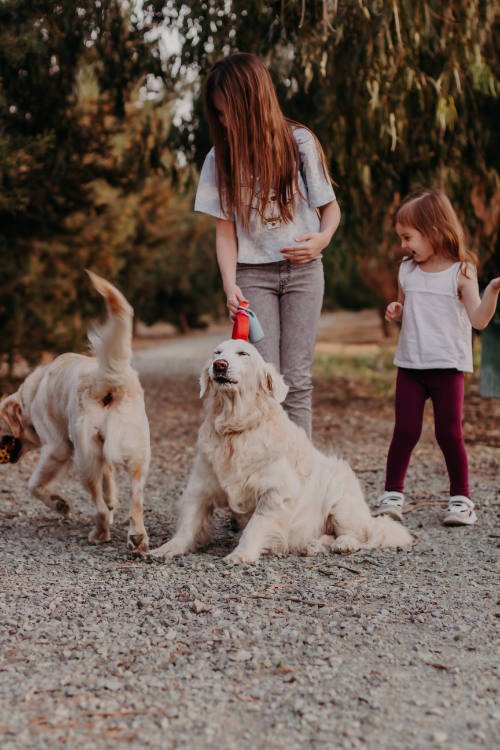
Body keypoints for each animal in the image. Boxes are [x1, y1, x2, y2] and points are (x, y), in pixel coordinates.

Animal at [0, 274, 150, 556]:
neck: (31, 396)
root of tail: (105, 380)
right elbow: (109, 480)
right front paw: (112, 502)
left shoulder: (56, 448)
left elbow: (33, 484)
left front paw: (60, 504)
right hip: (137, 455)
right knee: (136, 500)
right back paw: (136, 537)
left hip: (84, 457)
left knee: (98, 506)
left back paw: (99, 533)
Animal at [150, 340, 412, 564]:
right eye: (217, 353)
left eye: (243, 354)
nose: (219, 365)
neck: (235, 429)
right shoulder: (201, 486)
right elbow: (188, 525)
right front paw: (167, 548)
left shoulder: (276, 493)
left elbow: (255, 526)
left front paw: (240, 554)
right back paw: (312, 545)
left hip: (341, 500)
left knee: (360, 534)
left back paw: (343, 543)